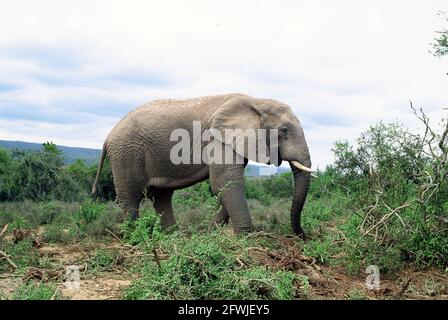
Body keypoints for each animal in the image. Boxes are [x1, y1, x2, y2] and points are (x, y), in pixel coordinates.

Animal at [92, 92, 314, 238]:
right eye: (284, 130)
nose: (304, 236)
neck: (257, 101)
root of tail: (109, 136)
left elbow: (225, 186)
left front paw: (209, 233)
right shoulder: (218, 138)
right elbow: (226, 182)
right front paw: (245, 239)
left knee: (162, 197)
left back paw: (173, 237)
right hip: (126, 153)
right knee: (130, 198)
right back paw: (136, 239)